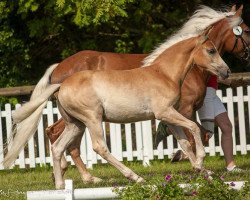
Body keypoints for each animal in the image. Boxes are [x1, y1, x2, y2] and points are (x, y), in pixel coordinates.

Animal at [3, 32, 230, 188]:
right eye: (211, 50)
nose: (226, 71)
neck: (163, 74)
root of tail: (61, 85)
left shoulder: (168, 118)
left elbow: (184, 143)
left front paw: (203, 171)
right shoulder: (165, 113)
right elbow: (195, 128)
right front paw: (201, 162)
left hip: (75, 124)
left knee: (58, 147)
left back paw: (59, 185)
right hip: (92, 119)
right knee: (99, 147)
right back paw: (134, 177)